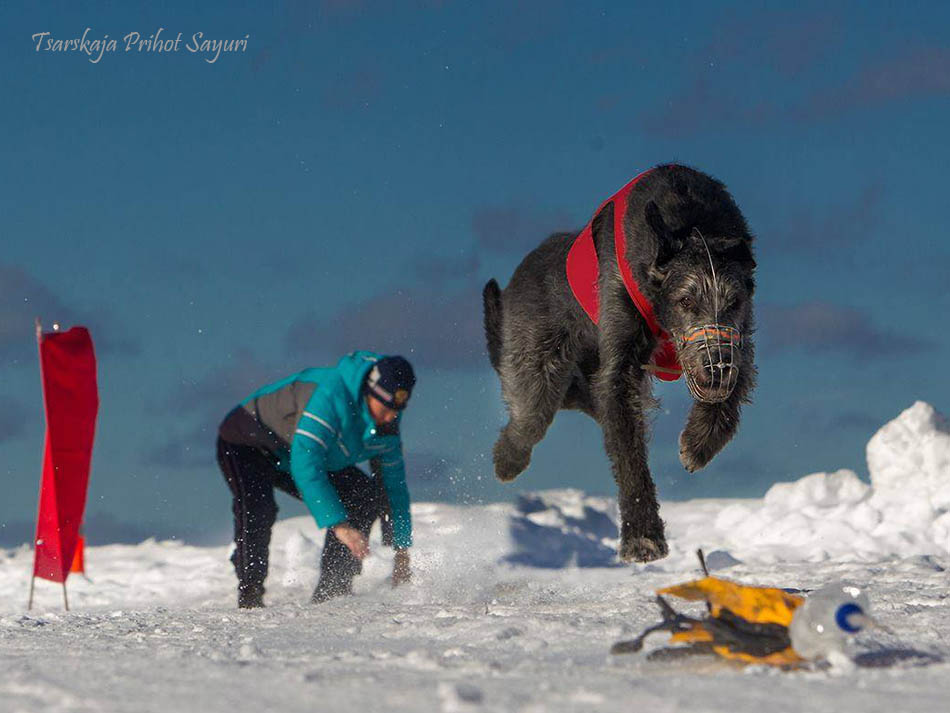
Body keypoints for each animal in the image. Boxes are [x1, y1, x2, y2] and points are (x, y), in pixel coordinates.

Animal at [484, 163, 760, 560]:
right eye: (685, 301)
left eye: (734, 301)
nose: (715, 371)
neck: (693, 222)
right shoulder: (619, 352)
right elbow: (627, 448)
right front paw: (642, 536)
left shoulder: (740, 340)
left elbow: (738, 379)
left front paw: (699, 441)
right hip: (534, 358)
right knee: (529, 418)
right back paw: (508, 459)